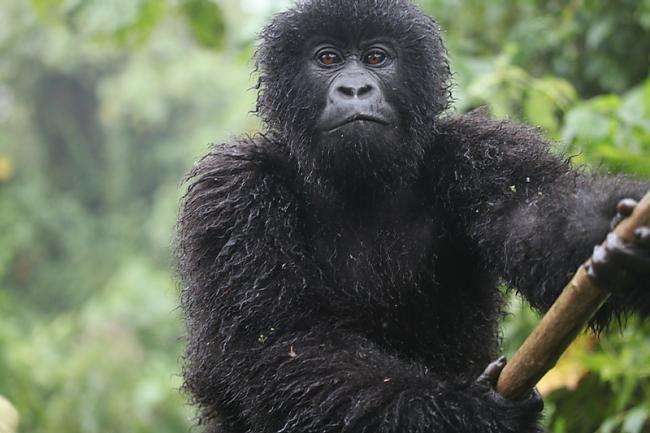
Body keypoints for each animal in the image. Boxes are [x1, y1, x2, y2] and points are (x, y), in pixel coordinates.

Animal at [173, 0, 648, 432]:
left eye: (376, 58)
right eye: (326, 58)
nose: (355, 90)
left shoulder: (482, 150)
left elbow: (533, 217)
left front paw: (613, 231)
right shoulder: (232, 193)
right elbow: (281, 339)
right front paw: (461, 411)